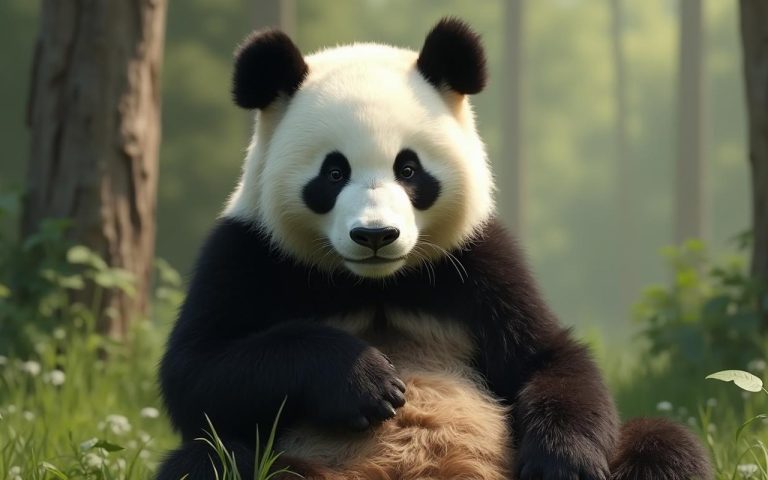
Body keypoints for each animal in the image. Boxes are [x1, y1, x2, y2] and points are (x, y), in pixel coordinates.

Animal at [158, 18, 712, 480]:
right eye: (333, 173)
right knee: (210, 460)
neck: (376, 283)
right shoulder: (248, 254)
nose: (375, 236)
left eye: (409, 169)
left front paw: (564, 463)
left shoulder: (480, 261)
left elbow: (548, 357)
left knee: (663, 443)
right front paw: (366, 381)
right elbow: (199, 371)